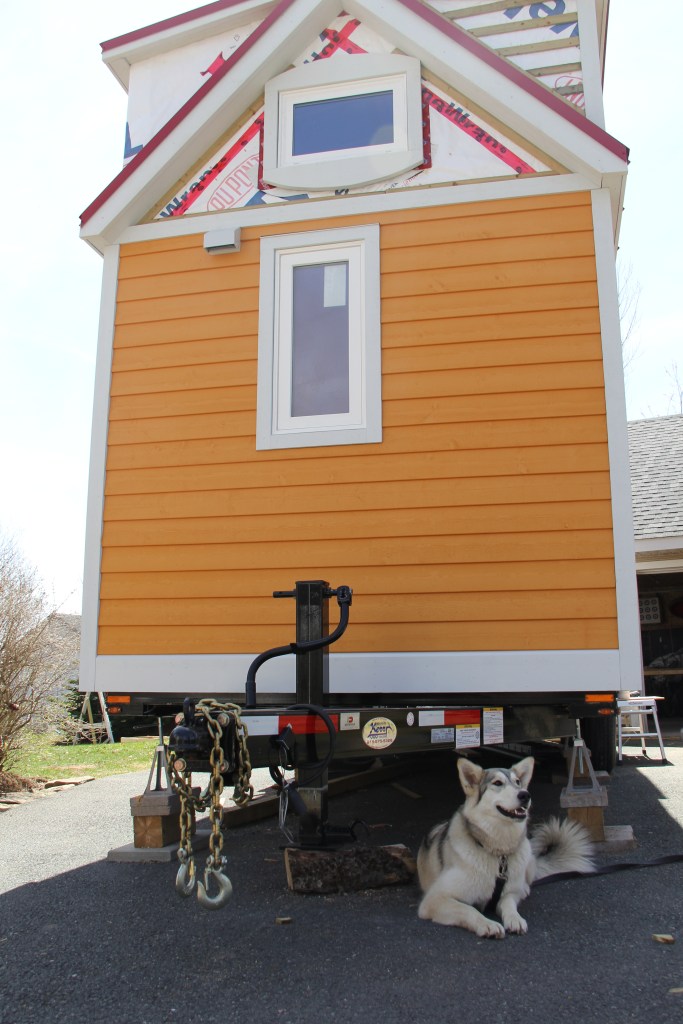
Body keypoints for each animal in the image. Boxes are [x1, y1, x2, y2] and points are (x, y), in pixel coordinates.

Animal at [417, 756, 594, 938]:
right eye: (497, 783)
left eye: (518, 782)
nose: (525, 795)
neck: (498, 852)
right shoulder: (435, 899)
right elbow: (469, 910)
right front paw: (488, 924)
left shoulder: (509, 893)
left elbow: (508, 902)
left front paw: (515, 919)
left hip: (528, 855)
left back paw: (524, 889)